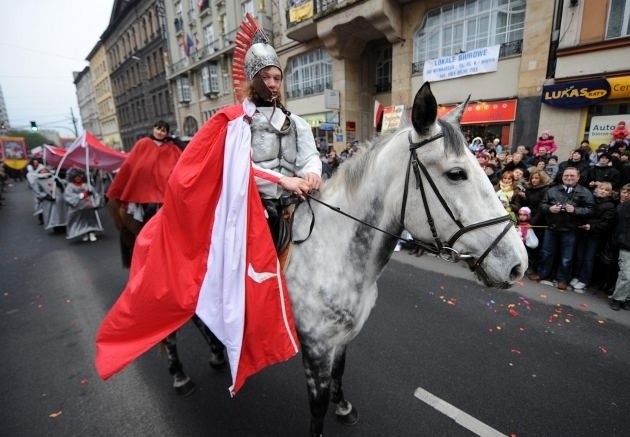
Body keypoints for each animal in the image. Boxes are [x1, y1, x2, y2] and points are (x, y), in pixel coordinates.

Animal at [286, 81, 528, 432]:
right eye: (457, 173)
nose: (518, 265)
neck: (330, 256)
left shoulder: (341, 340)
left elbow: (339, 373)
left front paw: (343, 406)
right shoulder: (316, 349)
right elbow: (317, 409)